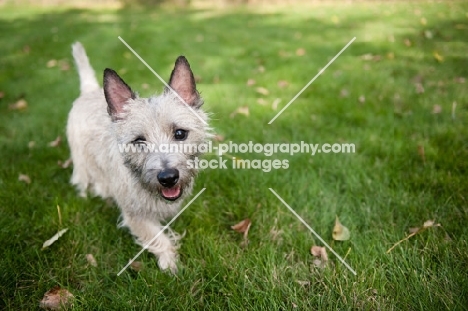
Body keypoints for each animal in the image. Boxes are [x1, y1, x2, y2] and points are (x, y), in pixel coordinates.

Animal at [66, 43, 209, 272]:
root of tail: (90, 91)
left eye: (180, 133)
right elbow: (157, 237)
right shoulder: (135, 215)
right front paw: (171, 265)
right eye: (139, 141)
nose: (168, 177)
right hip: (82, 162)